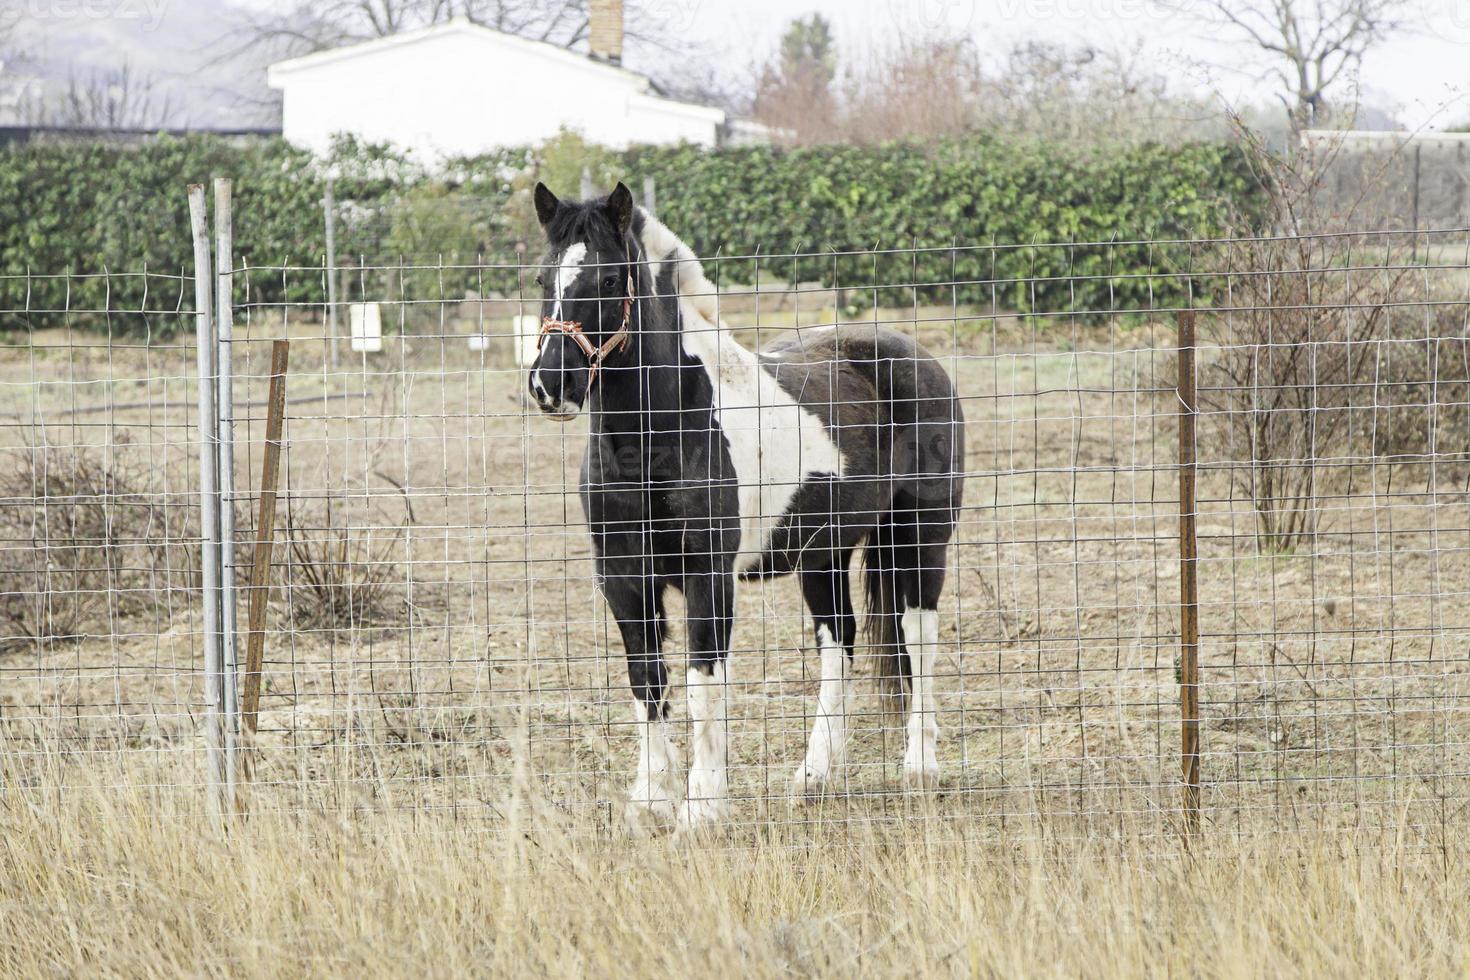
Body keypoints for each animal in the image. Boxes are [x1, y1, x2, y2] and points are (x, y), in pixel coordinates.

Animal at [529, 182, 964, 828]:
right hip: (823, 554)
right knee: (840, 642)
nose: (549, 385)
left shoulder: (708, 573)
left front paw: (701, 808)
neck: (658, 435)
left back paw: (920, 770)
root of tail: (914, 356)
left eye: (608, 279)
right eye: (543, 278)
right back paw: (813, 779)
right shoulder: (622, 576)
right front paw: (649, 800)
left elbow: (703, 682)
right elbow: (646, 679)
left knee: (918, 638)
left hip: (920, 540)